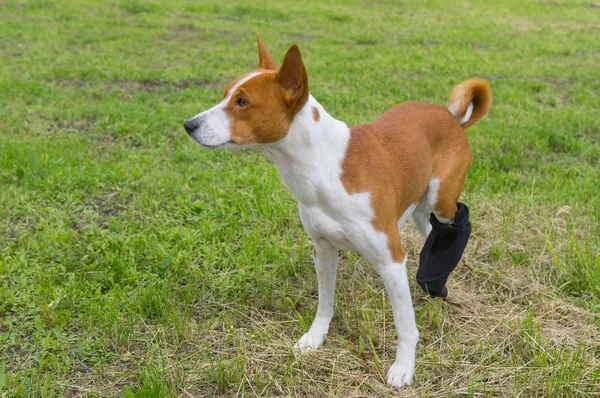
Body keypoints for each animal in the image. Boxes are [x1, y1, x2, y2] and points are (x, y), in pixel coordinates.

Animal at [184, 35, 492, 388]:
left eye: (242, 102)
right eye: (225, 95)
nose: (189, 125)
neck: (324, 167)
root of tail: (453, 118)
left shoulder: (390, 259)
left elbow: (404, 323)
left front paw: (404, 366)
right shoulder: (324, 249)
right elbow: (325, 303)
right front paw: (315, 338)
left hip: (442, 200)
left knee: (454, 224)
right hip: (419, 208)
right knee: (430, 232)